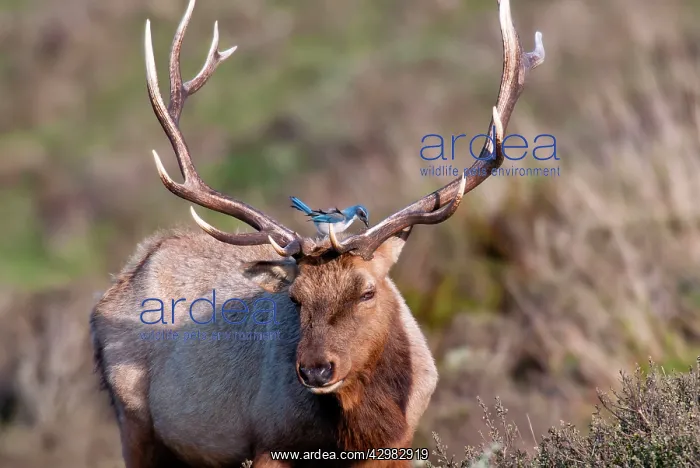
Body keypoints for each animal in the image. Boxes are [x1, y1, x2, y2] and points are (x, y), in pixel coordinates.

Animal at [89, 0, 544, 466]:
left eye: (367, 292)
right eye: (295, 298)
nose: (315, 369)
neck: (362, 432)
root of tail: (130, 268)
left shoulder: (400, 444)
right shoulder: (270, 442)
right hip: (134, 421)